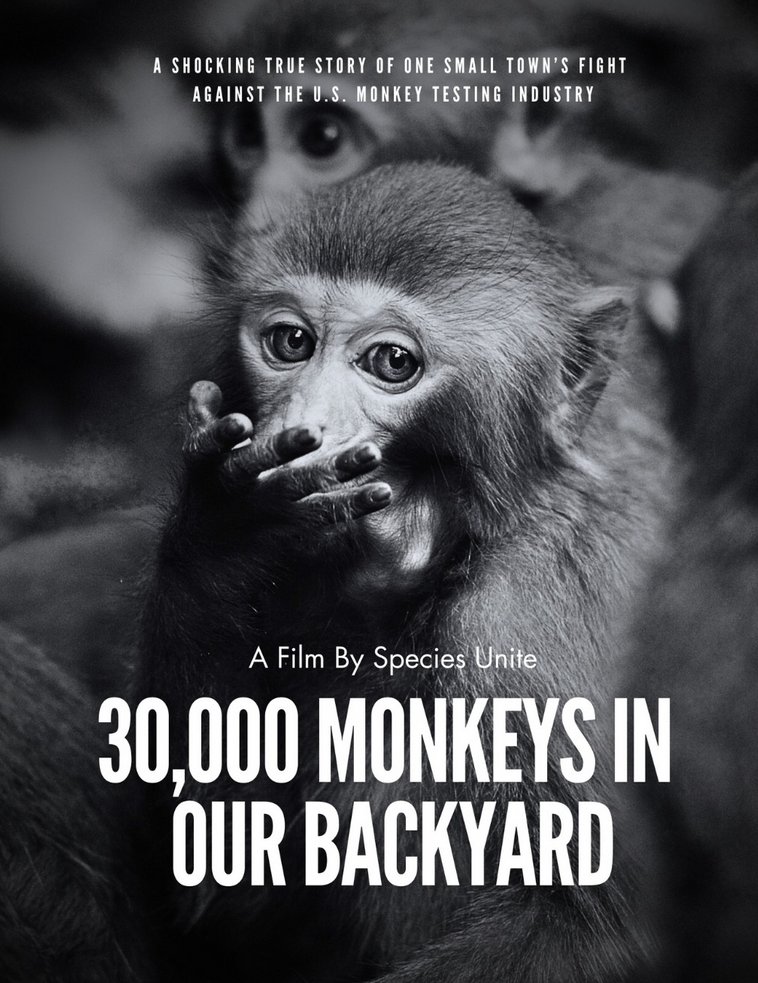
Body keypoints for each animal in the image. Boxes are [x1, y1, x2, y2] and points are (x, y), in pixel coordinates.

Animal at [131, 162, 673, 982]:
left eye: (392, 362)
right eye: (290, 342)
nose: (305, 425)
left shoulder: (528, 624)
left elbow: (595, 924)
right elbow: (220, 874)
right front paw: (226, 530)